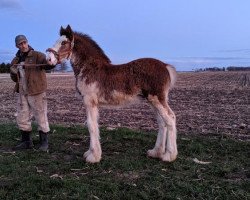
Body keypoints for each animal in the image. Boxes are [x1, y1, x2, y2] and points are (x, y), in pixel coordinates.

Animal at [47, 25, 179, 163]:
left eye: (63, 43)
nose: (49, 59)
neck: (89, 68)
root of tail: (165, 66)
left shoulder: (89, 101)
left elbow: (91, 125)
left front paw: (93, 157)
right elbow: (94, 125)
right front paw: (91, 153)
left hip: (156, 99)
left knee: (170, 119)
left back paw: (169, 155)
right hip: (153, 101)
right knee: (162, 122)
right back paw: (156, 152)